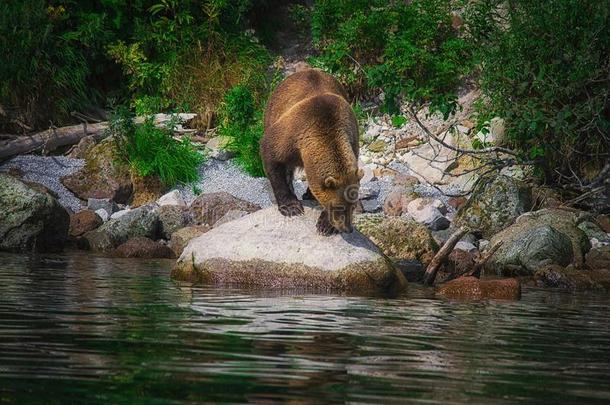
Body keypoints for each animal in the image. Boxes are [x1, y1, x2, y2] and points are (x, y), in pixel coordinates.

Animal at [260, 68, 360, 234]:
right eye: (337, 207)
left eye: (353, 206)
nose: (347, 228)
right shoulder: (290, 135)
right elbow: (273, 159)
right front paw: (291, 207)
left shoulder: (352, 138)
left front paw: (325, 224)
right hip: (272, 111)